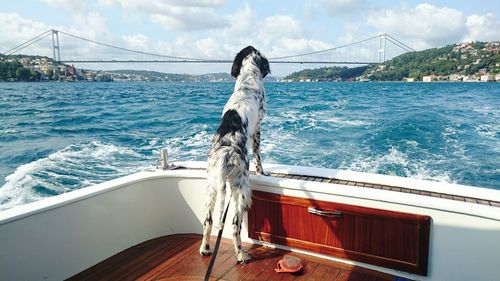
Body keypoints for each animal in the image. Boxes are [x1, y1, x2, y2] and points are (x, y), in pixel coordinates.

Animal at [199, 46, 270, 262]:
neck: (247, 81)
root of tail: (224, 154)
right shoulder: (257, 129)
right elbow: (258, 156)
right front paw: (263, 172)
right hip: (242, 189)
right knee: (234, 225)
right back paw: (241, 255)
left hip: (212, 187)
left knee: (208, 221)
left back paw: (205, 248)